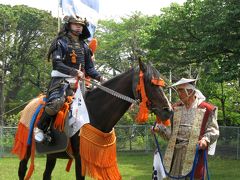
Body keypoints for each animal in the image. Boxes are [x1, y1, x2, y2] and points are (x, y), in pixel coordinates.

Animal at [12, 59, 172, 179]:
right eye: (150, 83)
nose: (168, 111)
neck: (93, 112)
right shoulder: (80, 158)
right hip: (26, 148)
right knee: (21, 170)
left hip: (52, 154)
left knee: (46, 174)